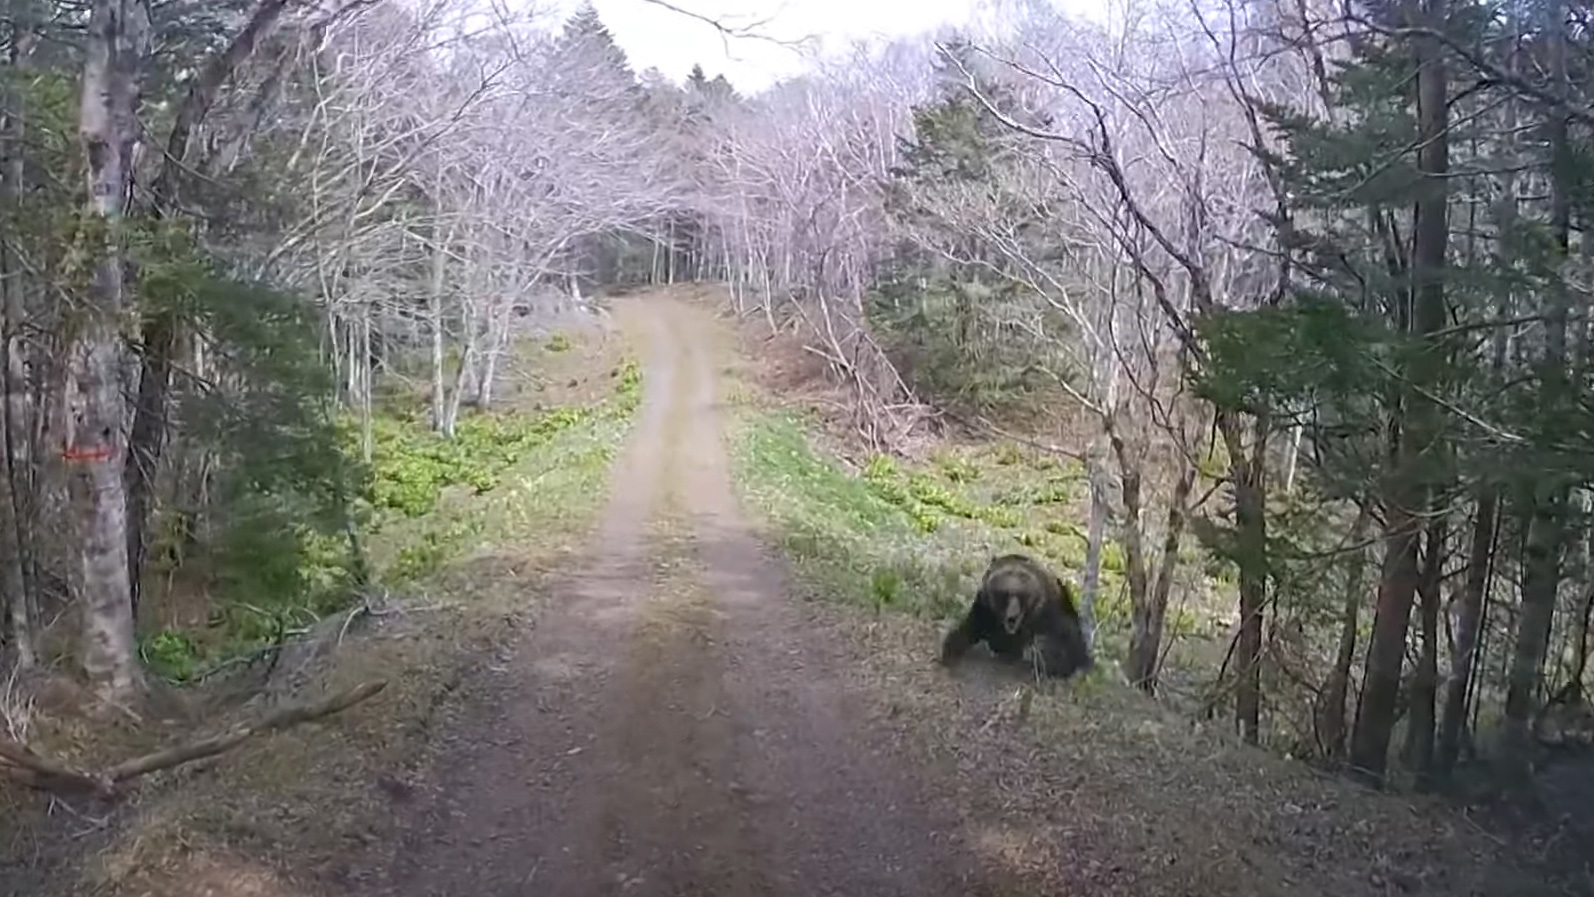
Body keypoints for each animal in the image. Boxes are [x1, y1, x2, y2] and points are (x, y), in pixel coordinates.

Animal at [939, 553, 1093, 680]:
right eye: (1005, 593)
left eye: (1022, 595)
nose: (1012, 616)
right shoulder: (985, 608)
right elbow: (969, 629)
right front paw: (950, 651)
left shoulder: (1050, 614)